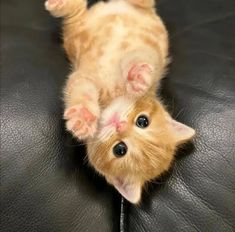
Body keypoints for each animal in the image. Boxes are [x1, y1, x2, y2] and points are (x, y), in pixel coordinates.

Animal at [45, 0, 195, 203]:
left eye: (120, 149)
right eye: (143, 121)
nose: (119, 124)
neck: (110, 96)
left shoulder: (82, 77)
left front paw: (84, 116)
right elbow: (138, 58)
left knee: (77, 13)